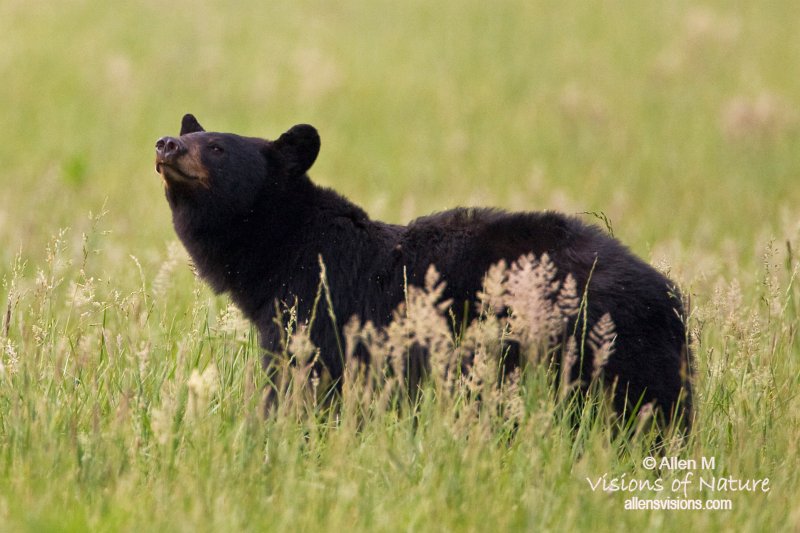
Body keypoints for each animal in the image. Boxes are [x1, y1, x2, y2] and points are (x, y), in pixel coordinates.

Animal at [155, 114, 692, 426]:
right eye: (189, 134)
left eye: (217, 146)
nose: (165, 143)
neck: (287, 245)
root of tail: (666, 294)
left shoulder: (318, 306)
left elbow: (299, 382)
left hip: (591, 347)